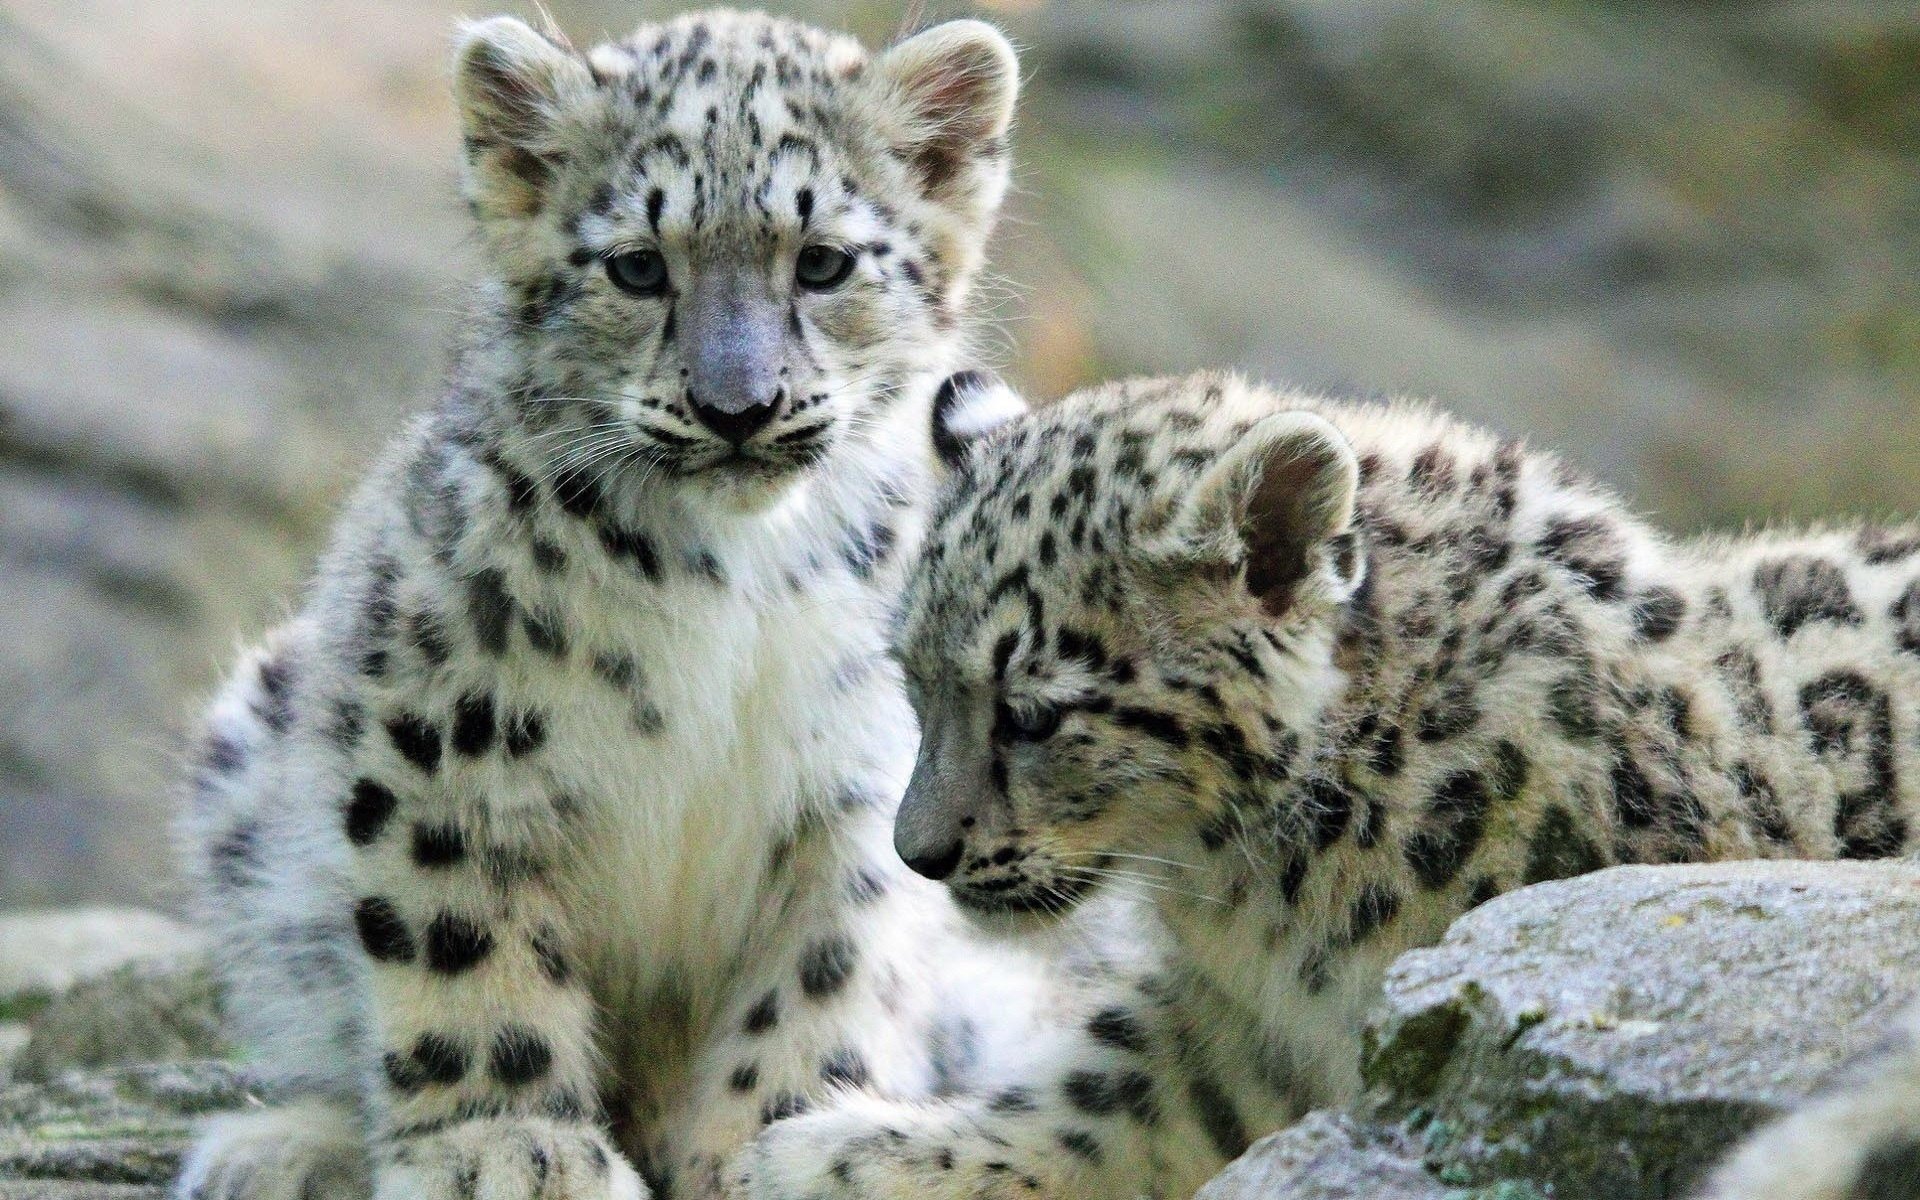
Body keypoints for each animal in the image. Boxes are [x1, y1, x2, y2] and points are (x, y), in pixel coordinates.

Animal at [165, 12, 1099, 1200]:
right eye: (639, 266)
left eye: (824, 261)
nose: (738, 406)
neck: (738, 580)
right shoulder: (445, 733)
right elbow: (462, 939)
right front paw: (509, 1148)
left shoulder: (866, 775)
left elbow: (828, 970)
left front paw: (773, 1138)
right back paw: (276, 1147)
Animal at [781, 369, 1920, 1200]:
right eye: (913, 681)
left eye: (1031, 711)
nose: (918, 851)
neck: (1275, 896)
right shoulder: (1241, 1026)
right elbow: (1116, 1094)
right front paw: (840, 1157)